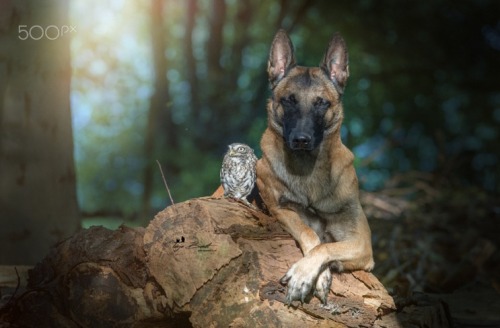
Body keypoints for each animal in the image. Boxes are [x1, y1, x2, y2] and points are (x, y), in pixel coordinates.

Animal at [256, 29, 374, 304]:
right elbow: (311, 234)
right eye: (289, 101)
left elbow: (326, 245)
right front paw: (314, 277)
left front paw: (305, 273)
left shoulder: (361, 242)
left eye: (321, 103)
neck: (308, 172)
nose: (301, 139)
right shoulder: (281, 210)